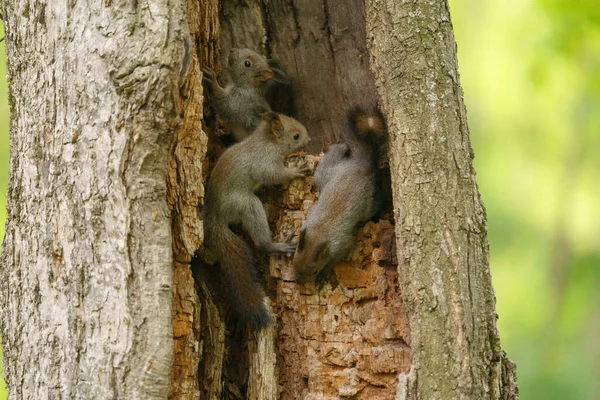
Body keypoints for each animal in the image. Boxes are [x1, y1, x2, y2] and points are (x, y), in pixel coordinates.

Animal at [204, 111, 312, 330]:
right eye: (296, 136)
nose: (309, 140)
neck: (266, 142)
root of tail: (214, 218)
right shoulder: (264, 163)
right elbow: (275, 175)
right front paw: (295, 171)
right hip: (246, 205)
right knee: (261, 243)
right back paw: (276, 245)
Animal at [292, 106, 386, 288]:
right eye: (294, 260)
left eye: (314, 271)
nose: (298, 282)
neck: (319, 233)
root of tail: (359, 164)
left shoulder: (342, 243)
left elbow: (337, 258)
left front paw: (325, 272)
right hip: (325, 173)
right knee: (338, 151)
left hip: (368, 204)